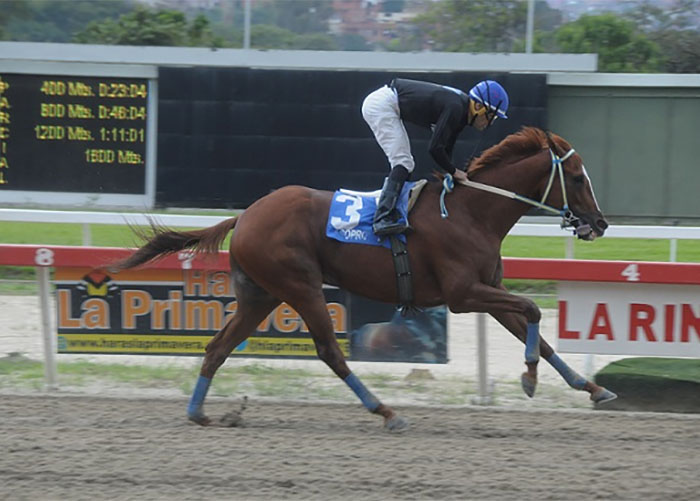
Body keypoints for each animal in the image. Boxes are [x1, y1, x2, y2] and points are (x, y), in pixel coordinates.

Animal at [110, 126, 616, 431]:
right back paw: (386, 411)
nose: (600, 223)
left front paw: (593, 388)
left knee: (218, 347)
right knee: (330, 352)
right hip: (300, 286)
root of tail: (246, 215)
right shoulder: (463, 294)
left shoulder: (489, 292)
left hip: (261, 295)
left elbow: (538, 333)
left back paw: (199, 412)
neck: (473, 212)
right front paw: (529, 378)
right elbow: (532, 311)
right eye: (576, 176)